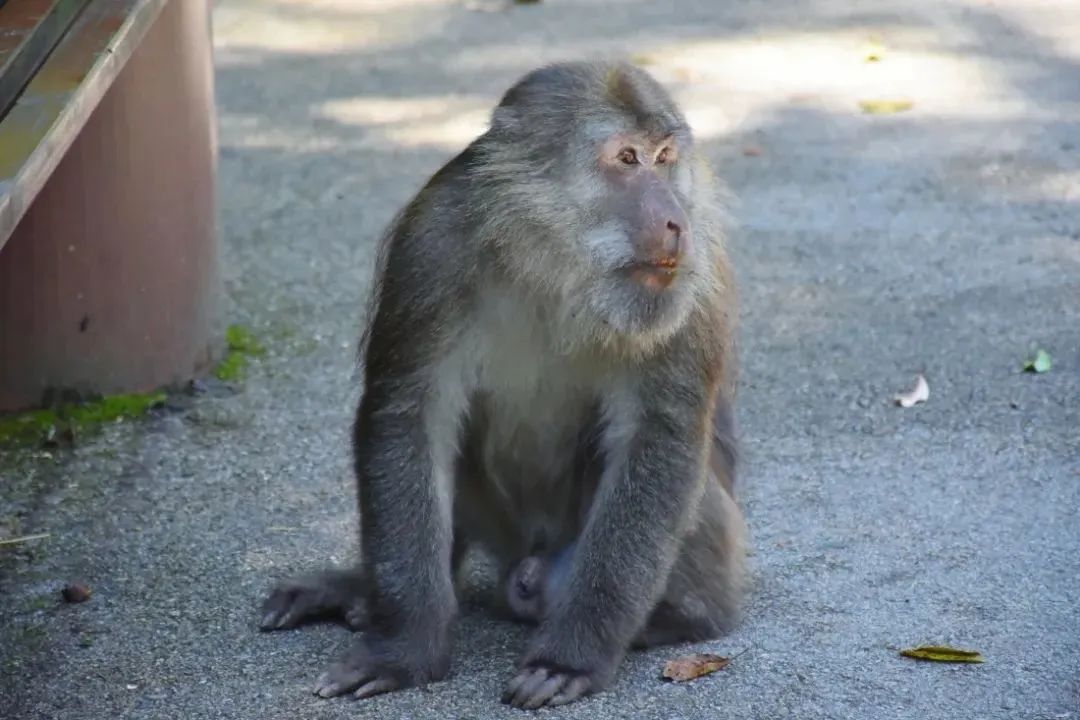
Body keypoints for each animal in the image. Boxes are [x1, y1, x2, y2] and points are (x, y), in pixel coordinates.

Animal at [257, 60, 747, 708]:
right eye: (627, 158)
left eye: (665, 157)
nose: (674, 220)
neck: (554, 262)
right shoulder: (432, 241)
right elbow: (409, 417)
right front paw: (405, 649)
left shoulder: (698, 271)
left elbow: (659, 441)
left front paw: (572, 656)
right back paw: (364, 593)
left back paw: (678, 618)